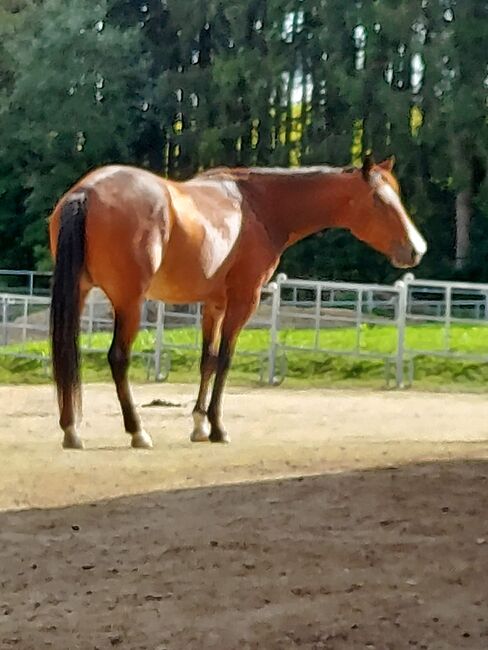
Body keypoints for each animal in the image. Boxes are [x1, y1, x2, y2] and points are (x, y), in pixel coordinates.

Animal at [47, 154, 426, 448]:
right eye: (379, 199)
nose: (416, 249)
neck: (258, 206)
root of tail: (86, 192)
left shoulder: (213, 305)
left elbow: (208, 360)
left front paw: (199, 425)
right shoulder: (244, 300)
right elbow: (226, 360)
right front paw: (217, 427)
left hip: (80, 293)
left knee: (67, 352)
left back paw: (71, 429)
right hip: (130, 303)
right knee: (118, 358)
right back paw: (137, 431)